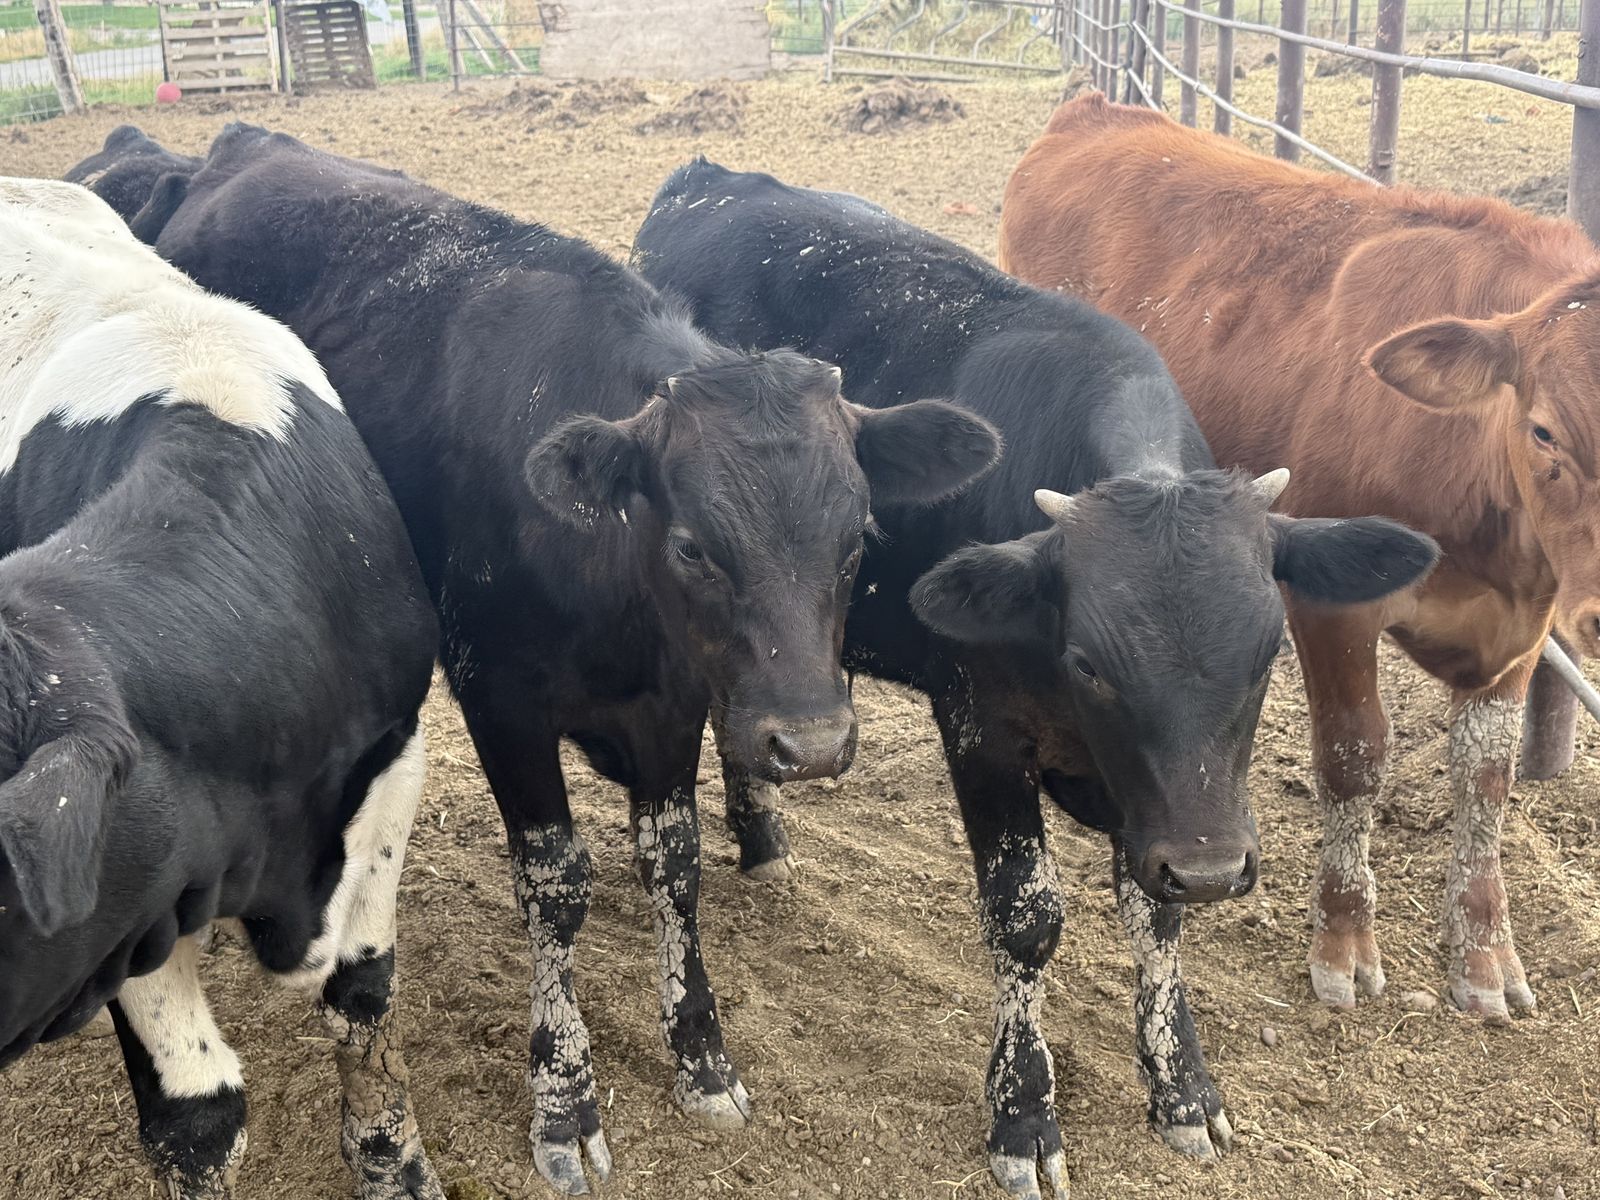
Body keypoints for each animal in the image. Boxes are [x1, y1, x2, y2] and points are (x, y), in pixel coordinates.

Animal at [76, 125, 1002, 1195]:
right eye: (693, 546)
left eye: (858, 537)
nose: (810, 744)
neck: (607, 570)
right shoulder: (500, 698)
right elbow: (555, 884)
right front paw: (565, 1100)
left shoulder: (672, 704)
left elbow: (672, 863)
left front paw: (702, 1055)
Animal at [631, 159, 1439, 1199]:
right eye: (1089, 660)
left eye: (1269, 654)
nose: (1218, 869)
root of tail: (712, 178)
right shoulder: (981, 729)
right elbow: (1025, 918)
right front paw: (1023, 1117)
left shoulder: (1162, 802)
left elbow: (1156, 914)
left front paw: (1184, 1092)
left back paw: (765, 837)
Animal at [998, 92, 1600, 1023]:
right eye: (1544, 430)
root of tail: (1096, 113)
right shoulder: (1331, 602)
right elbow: (1353, 758)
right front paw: (1344, 943)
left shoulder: (1529, 624)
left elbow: (1487, 779)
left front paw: (1484, 954)